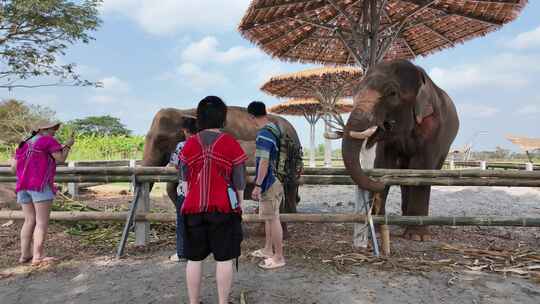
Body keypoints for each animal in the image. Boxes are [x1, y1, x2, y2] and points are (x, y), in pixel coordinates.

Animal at [340, 58, 458, 240]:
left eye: (392, 93)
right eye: (354, 93)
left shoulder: (433, 127)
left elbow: (421, 169)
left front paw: (417, 237)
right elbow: (384, 164)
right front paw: (379, 229)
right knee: (404, 177)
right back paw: (403, 221)